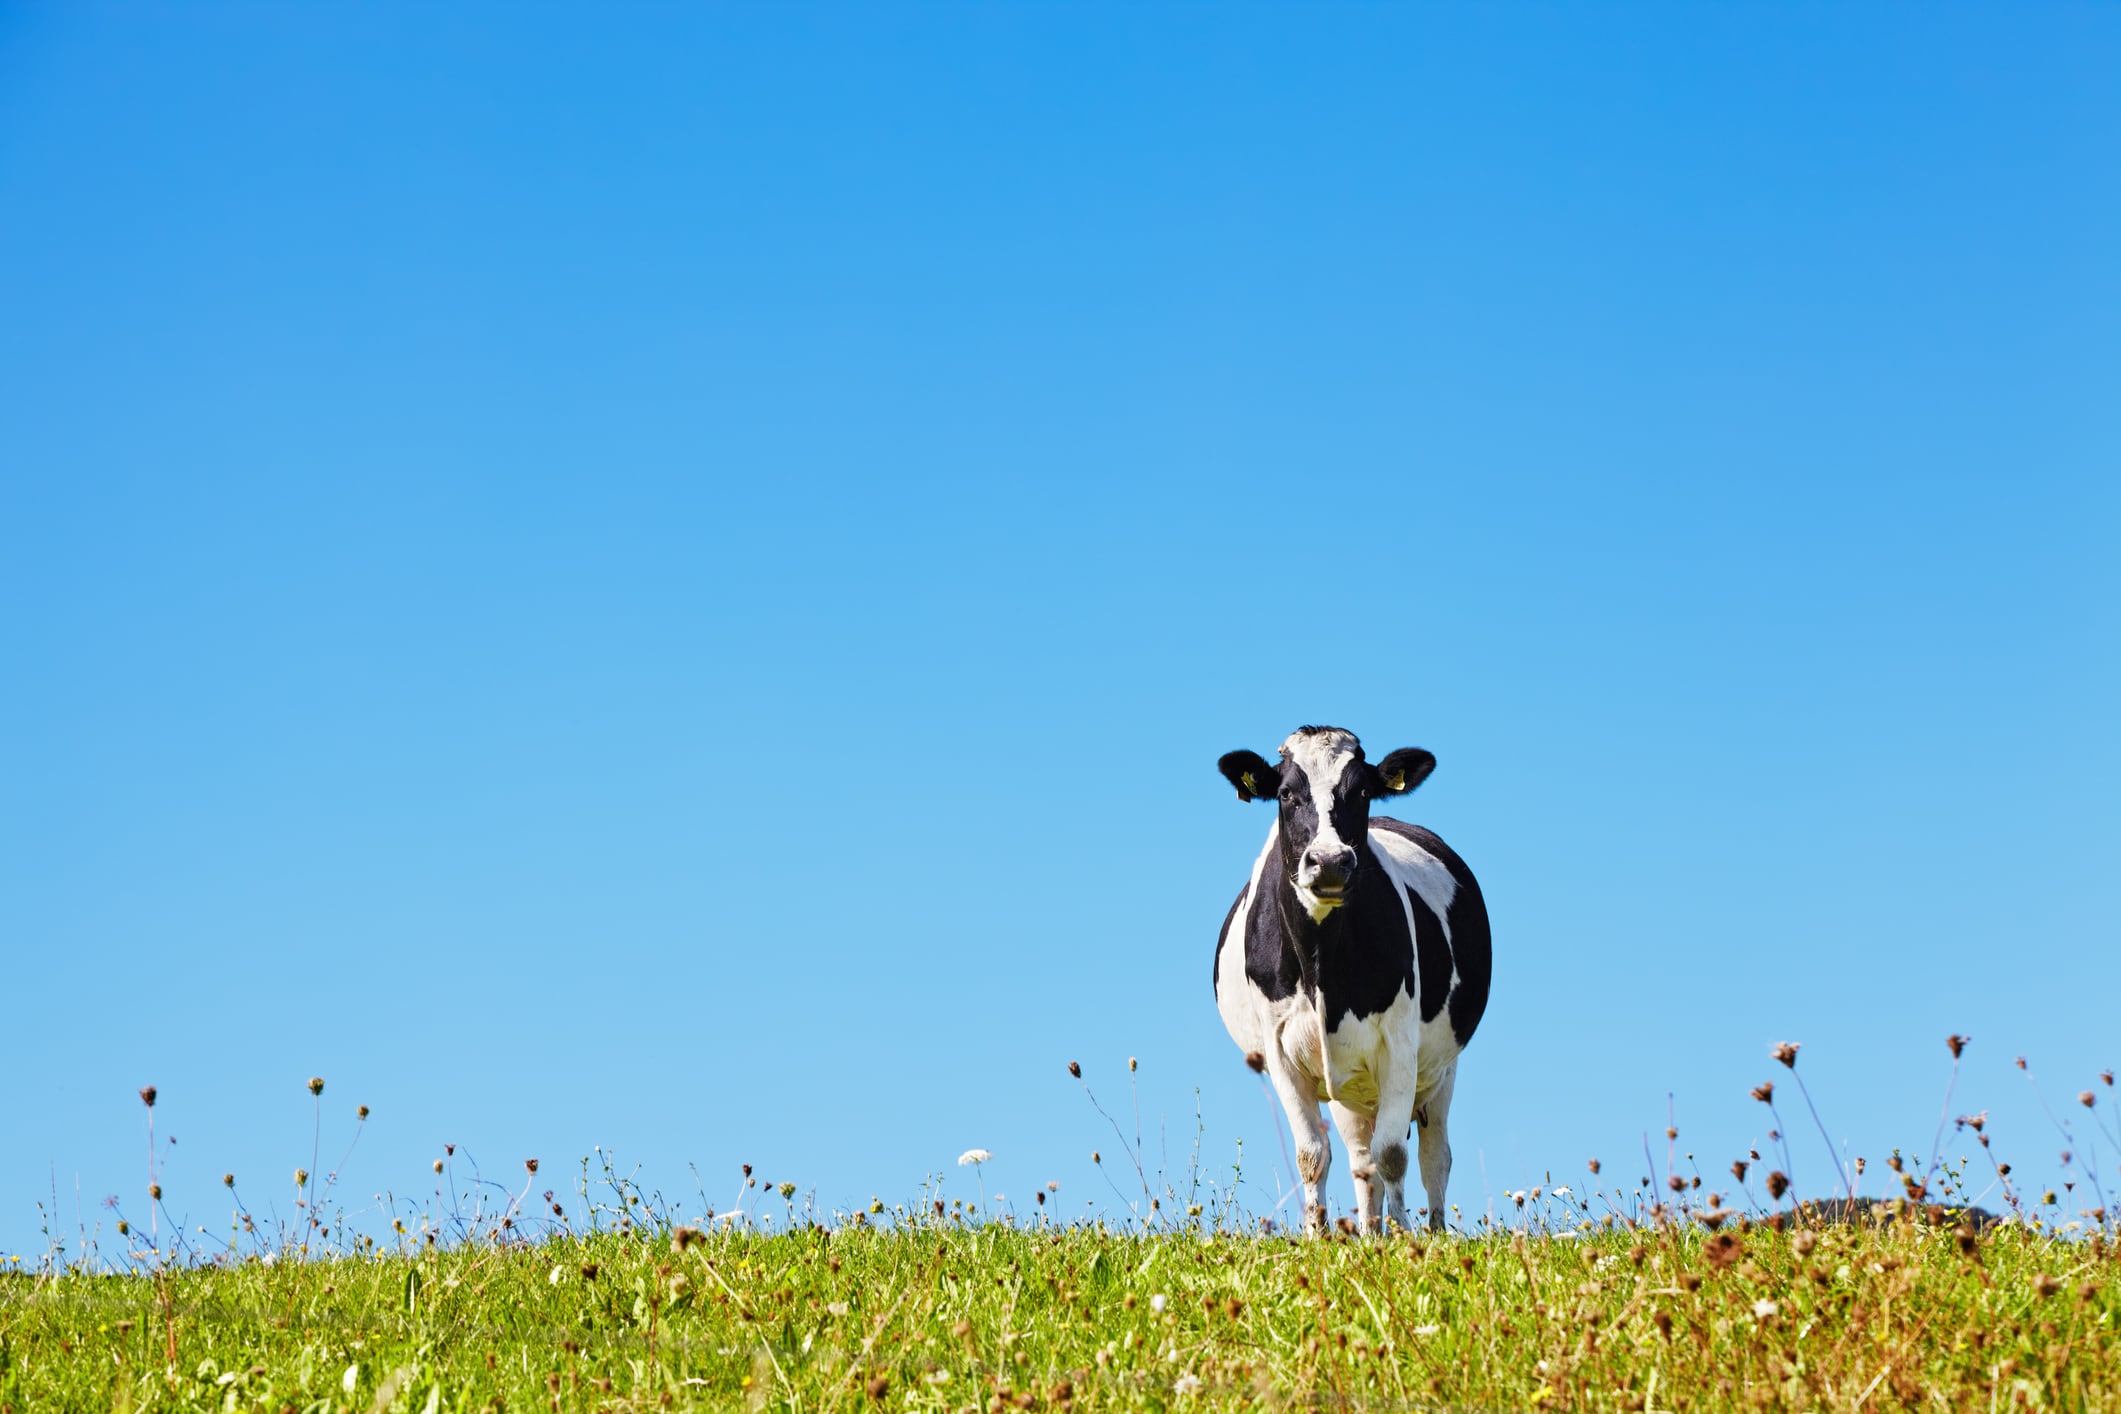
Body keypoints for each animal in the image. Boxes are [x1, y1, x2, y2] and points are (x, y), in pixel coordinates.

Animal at [1213, 726, 1491, 1234]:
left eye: (1362, 791)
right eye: (1286, 794)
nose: (1329, 862)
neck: (1322, 968)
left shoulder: (1400, 1046)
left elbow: (1394, 1154)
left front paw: (1403, 1236)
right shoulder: (1280, 1052)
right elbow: (1312, 1156)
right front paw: (1317, 1235)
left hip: (1441, 1069)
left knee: (1433, 1158)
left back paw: (1432, 1232)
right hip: (1349, 1087)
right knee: (1362, 1161)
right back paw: (1367, 1232)